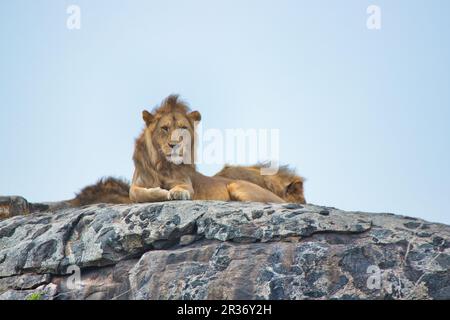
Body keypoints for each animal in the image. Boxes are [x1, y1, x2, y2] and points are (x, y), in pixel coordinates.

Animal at [127, 94, 284, 202]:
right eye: (165, 128)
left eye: (183, 128)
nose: (175, 144)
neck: (162, 165)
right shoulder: (135, 186)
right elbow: (138, 193)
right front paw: (161, 192)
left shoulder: (186, 183)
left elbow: (183, 188)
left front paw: (177, 192)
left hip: (236, 186)